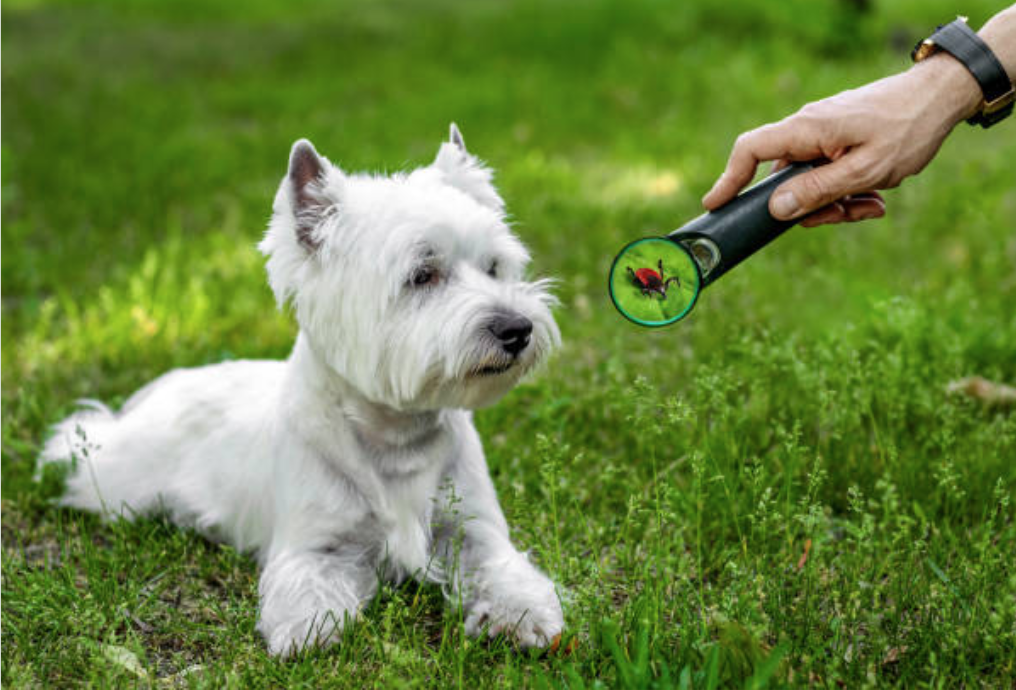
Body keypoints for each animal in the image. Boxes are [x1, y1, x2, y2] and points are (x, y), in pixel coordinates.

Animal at [37, 125, 564, 658]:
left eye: (494, 267)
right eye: (422, 275)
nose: (517, 329)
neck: (396, 437)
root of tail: (166, 383)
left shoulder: (474, 529)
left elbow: (503, 570)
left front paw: (521, 616)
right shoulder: (313, 541)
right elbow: (307, 582)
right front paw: (309, 628)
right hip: (120, 479)